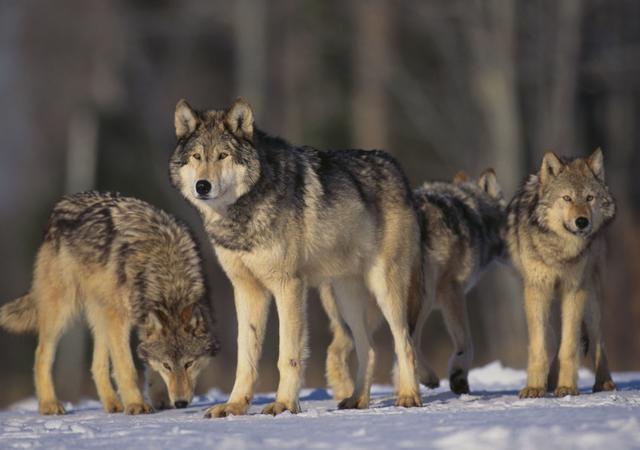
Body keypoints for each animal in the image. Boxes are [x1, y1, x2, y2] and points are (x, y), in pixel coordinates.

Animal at [0, 192, 218, 416]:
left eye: (189, 363)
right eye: (167, 365)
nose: (181, 403)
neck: (168, 272)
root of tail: (61, 204)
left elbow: (147, 361)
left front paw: (159, 398)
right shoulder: (120, 318)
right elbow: (127, 368)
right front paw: (137, 405)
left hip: (101, 315)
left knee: (97, 365)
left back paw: (113, 404)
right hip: (63, 310)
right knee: (42, 355)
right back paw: (49, 404)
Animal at [169, 97, 424, 414]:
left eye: (222, 155)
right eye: (196, 156)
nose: (202, 186)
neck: (241, 214)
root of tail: (397, 168)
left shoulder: (288, 285)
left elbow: (287, 355)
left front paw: (283, 404)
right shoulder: (246, 290)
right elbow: (246, 356)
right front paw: (234, 406)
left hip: (384, 288)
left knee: (405, 342)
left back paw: (409, 397)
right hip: (345, 299)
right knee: (371, 349)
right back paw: (357, 400)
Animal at [322, 169, 508, 398]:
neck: (469, 213)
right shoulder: (450, 291)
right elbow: (464, 341)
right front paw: (456, 378)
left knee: (335, 352)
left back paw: (348, 394)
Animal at [508, 150, 616, 398]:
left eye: (589, 198)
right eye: (567, 198)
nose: (582, 221)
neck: (560, 251)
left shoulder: (574, 290)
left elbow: (569, 346)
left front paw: (566, 387)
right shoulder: (536, 290)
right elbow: (540, 345)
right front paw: (534, 387)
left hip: (591, 297)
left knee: (598, 338)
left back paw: (604, 382)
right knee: (552, 338)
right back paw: (549, 381)